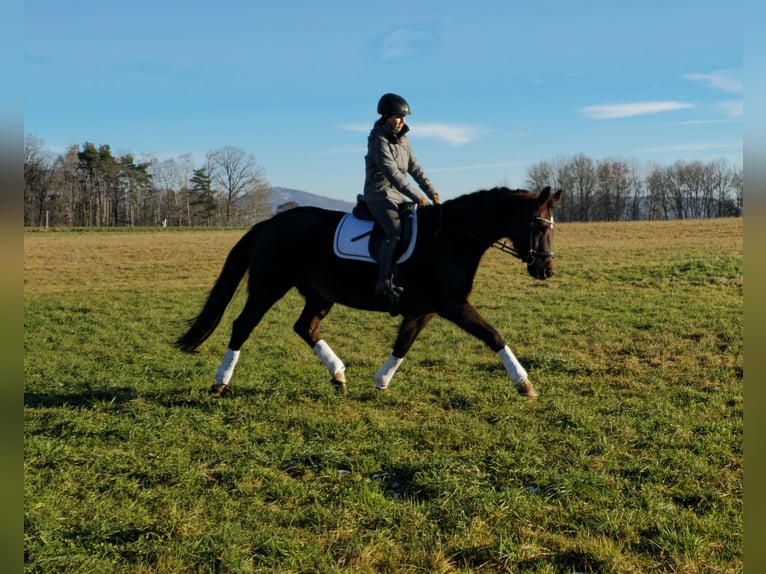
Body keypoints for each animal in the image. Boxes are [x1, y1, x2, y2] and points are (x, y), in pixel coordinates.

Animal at [176, 187, 564, 398]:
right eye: (536, 225)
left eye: (552, 226)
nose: (545, 270)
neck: (451, 238)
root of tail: (268, 224)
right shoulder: (453, 305)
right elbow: (493, 335)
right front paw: (525, 384)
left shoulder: (424, 309)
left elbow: (403, 344)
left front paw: (381, 381)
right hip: (269, 287)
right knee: (242, 326)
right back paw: (220, 383)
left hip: (320, 295)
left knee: (306, 327)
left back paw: (338, 374)